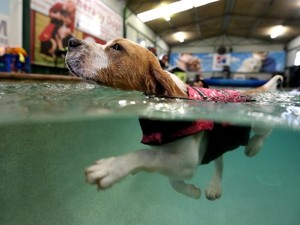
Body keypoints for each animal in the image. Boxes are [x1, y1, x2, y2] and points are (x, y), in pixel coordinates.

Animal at [64, 37, 282, 200]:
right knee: (219, 163)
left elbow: (144, 154)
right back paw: (214, 186)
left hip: (255, 123)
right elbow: (172, 179)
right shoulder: (179, 159)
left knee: (264, 131)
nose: (71, 41)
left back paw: (254, 147)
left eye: (117, 47)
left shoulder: (186, 161)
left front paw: (113, 167)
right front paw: (191, 191)